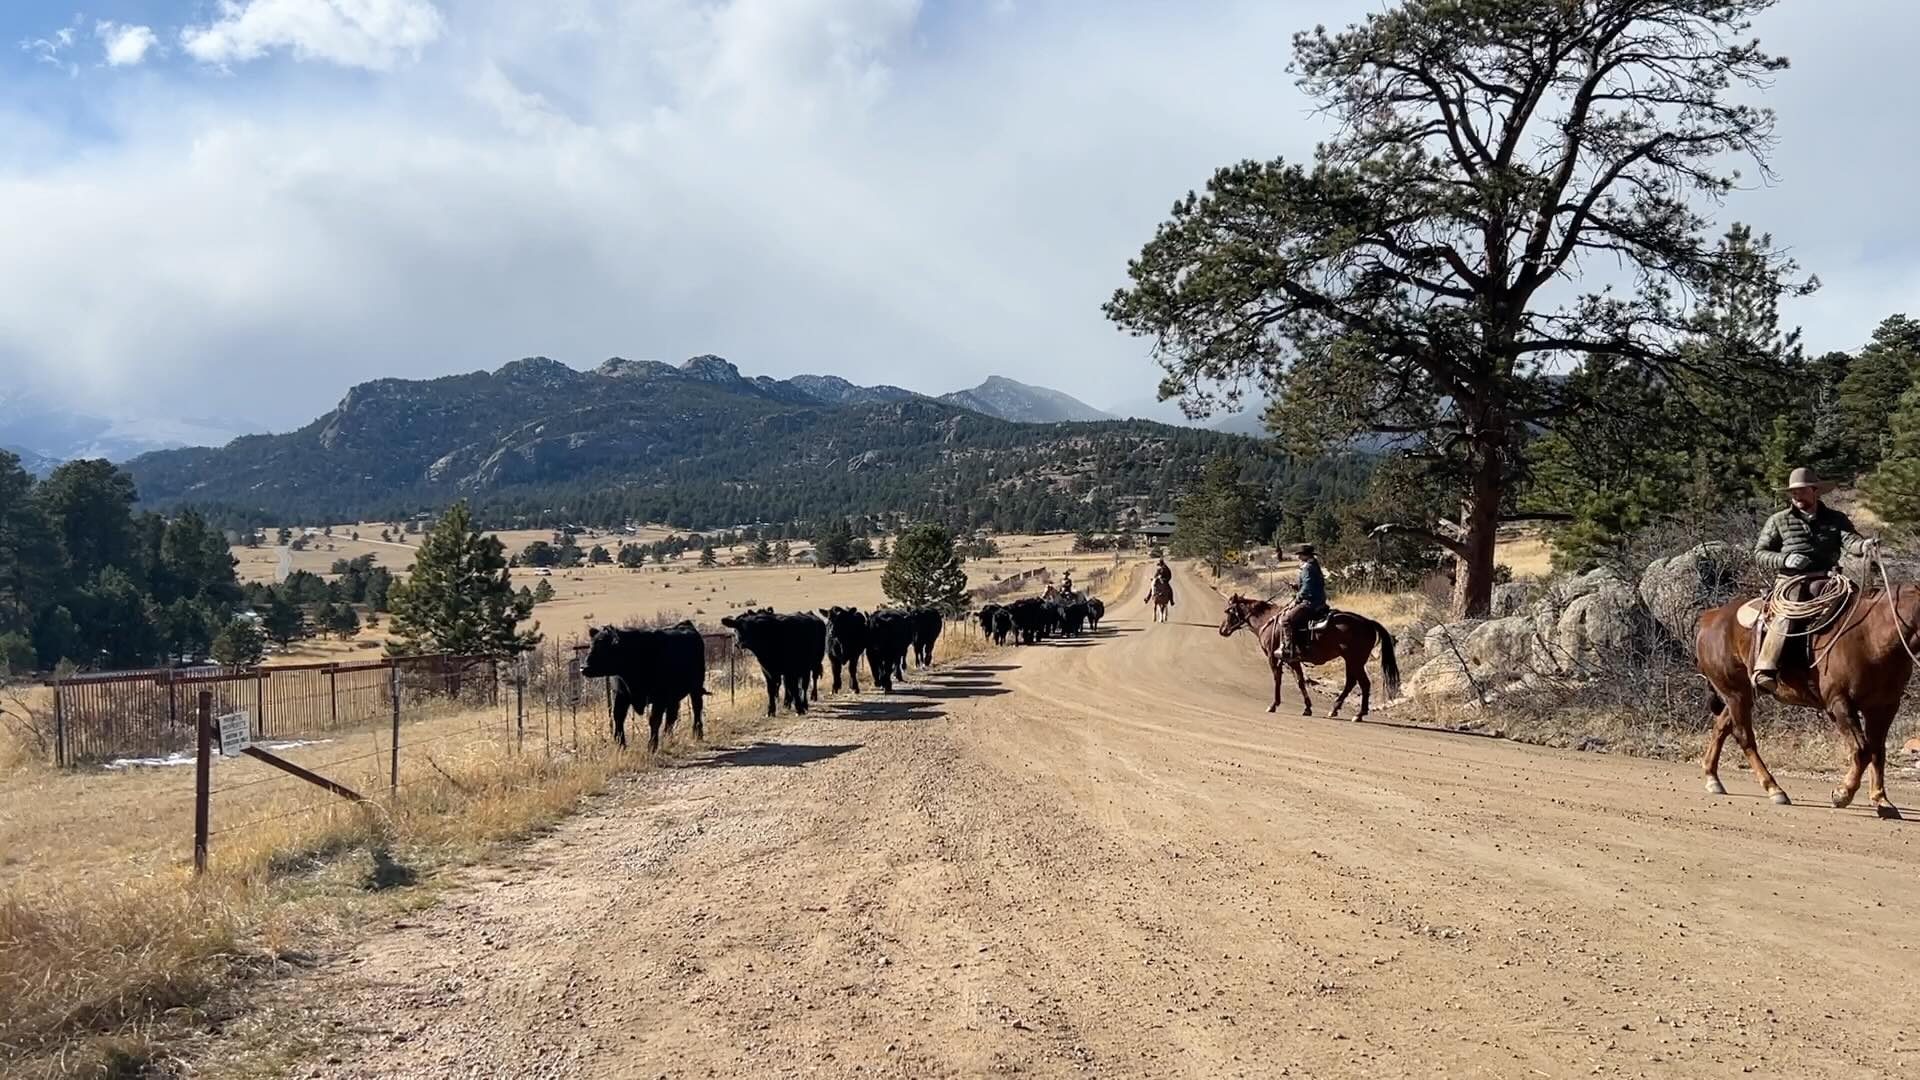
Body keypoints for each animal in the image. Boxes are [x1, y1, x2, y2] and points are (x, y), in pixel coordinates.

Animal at [580, 622, 706, 752]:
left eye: (604, 647)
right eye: (591, 646)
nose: (584, 668)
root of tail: (685, 625)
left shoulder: (660, 696)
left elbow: (654, 720)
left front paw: (652, 746)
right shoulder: (621, 694)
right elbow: (618, 717)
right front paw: (621, 745)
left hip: (696, 686)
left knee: (696, 707)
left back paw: (697, 734)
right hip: (673, 695)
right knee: (672, 715)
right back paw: (668, 738)